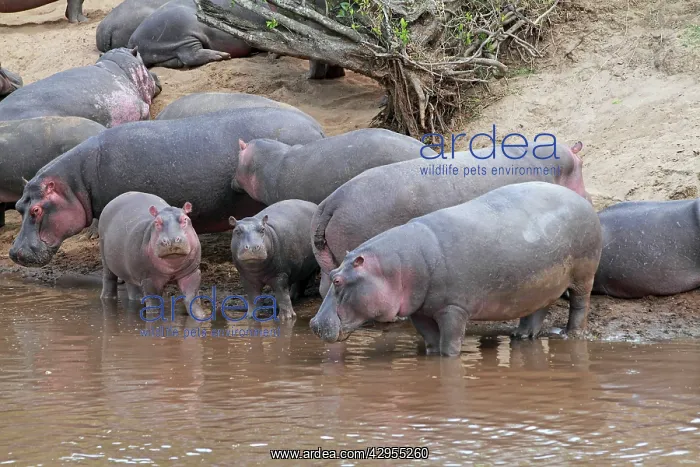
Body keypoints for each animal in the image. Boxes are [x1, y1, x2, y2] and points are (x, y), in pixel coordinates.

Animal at [310, 182, 603, 356]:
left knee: (580, 304)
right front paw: (431, 356)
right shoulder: (420, 310)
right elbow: (431, 341)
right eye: (332, 275)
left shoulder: (454, 308)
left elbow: (450, 344)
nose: (313, 324)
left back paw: (571, 334)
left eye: (338, 281)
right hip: (541, 281)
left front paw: (449, 359)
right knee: (538, 308)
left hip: (583, 274)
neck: (394, 266)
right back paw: (520, 336)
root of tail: (580, 199)